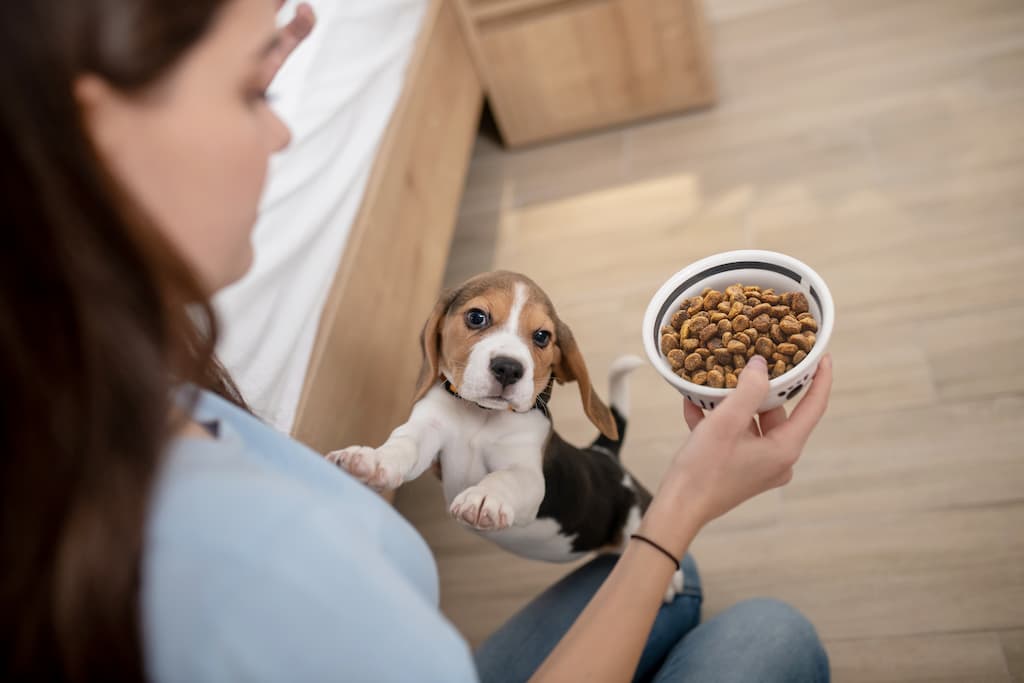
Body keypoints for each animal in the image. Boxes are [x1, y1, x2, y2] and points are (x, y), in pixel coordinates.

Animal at [323, 270, 684, 602]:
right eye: (476, 317)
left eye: (542, 336)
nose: (509, 368)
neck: (481, 417)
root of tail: (604, 454)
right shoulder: (428, 428)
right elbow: (404, 445)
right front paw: (371, 460)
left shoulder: (529, 473)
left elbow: (507, 478)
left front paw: (485, 498)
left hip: (636, 513)